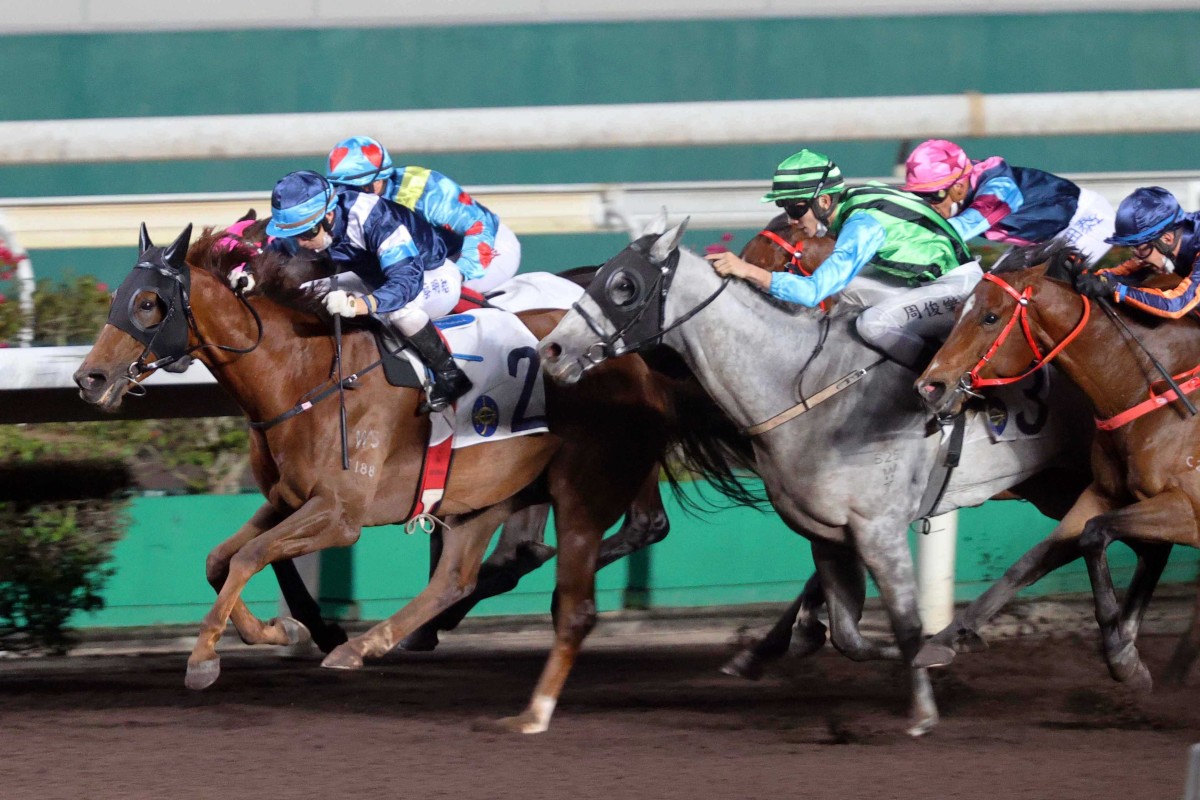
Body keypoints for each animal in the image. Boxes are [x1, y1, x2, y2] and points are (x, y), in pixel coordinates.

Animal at [70, 221, 744, 734]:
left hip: (566, 483)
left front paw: (208, 657)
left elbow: (247, 558)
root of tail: (634, 360)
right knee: (455, 578)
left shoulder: (340, 513)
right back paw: (371, 643)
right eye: (116, 298)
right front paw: (282, 629)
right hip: (487, 491)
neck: (303, 375)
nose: (89, 379)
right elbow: (220, 560)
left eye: (148, 303)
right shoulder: (289, 498)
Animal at [540, 214, 1094, 738]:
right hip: (1054, 483)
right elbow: (850, 637)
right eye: (602, 275)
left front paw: (924, 704)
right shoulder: (826, 534)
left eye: (624, 285)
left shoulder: (879, 530)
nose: (552, 350)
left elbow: (906, 623)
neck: (806, 387)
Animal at [912, 241, 1195, 686]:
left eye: (990, 317)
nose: (929, 387)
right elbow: (1036, 559)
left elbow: (1095, 535)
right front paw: (945, 639)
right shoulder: (1102, 494)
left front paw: (1122, 650)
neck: (1149, 389)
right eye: (957, 311)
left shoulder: (1189, 511)